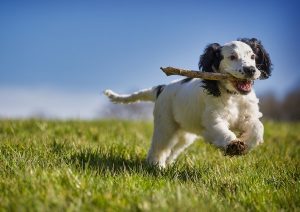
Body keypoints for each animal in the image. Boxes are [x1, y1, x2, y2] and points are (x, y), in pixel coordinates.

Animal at [105, 37, 272, 167]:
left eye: (253, 56)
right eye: (232, 57)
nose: (251, 70)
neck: (233, 96)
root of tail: (162, 88)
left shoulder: (248, 116)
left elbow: (258, 128)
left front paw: (246, 143)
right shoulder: (213, 120)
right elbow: (222, 131)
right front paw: (233, 145)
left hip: (185, 134)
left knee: (173, 150)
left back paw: (167, 165)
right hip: (165, 125)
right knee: (159, 148)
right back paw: (156, 166)